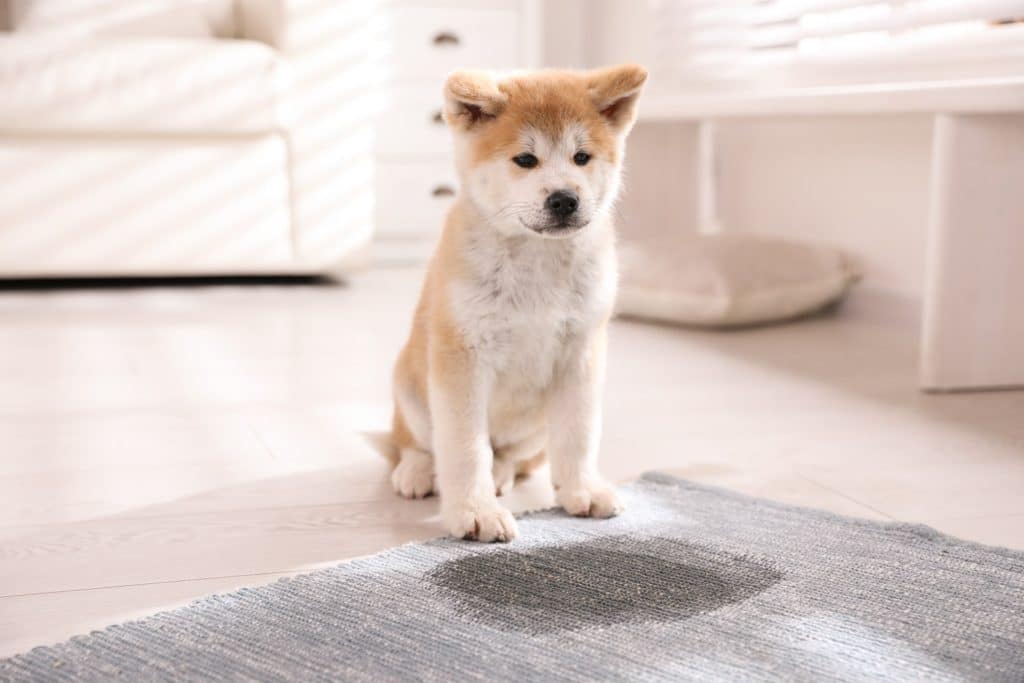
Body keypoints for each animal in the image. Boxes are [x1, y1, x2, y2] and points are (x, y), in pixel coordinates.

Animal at [387, 65, 643, 544]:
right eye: (526, 160)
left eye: (582, 157)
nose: (564, 199)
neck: (535, 261)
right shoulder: (462, 357)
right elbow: (465, 449)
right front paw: (475, 511)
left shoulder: (581, 353)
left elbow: (578, 434)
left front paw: (581, 489)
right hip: (410, 388)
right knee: (415, 443)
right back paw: (416, 471)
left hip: (532, 430)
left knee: (508, 454)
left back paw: (502, 474)